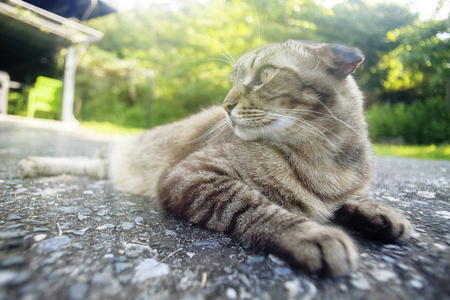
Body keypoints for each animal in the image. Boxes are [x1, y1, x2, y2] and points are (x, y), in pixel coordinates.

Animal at [18, 40, 412, 276]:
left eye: (266, 74)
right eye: (233, 80)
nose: (225, 104)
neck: (327, 162)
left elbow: (349, 201)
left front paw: (379, 214)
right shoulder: (189, 174)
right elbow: (254, 206)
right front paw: (311, 234)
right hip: (120, 151)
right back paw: (33, 164)